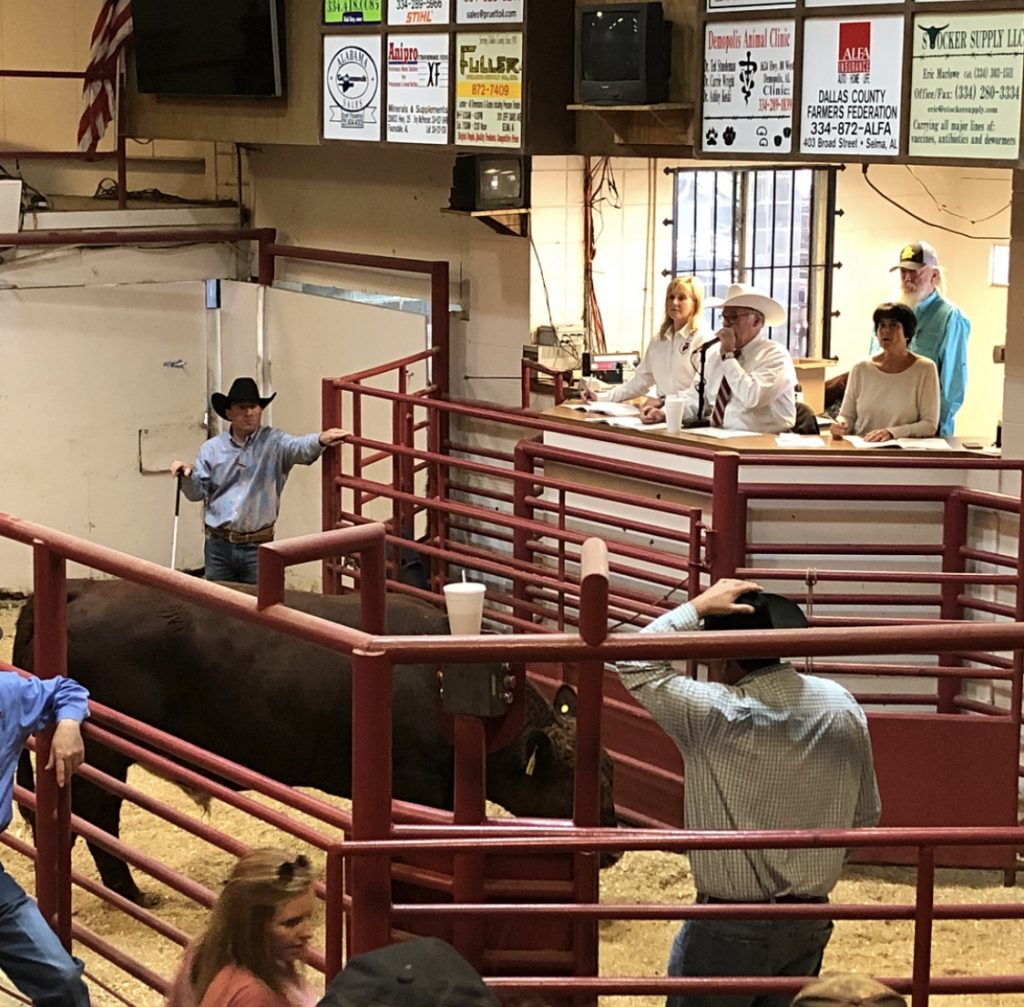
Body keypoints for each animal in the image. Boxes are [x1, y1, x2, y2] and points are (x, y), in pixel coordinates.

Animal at [16, 581, 614, 905]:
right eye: (576, 783)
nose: (610, 848)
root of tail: (85, 587)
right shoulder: (419, 789)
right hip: (105, 751)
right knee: (90, 816)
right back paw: (128, 891)